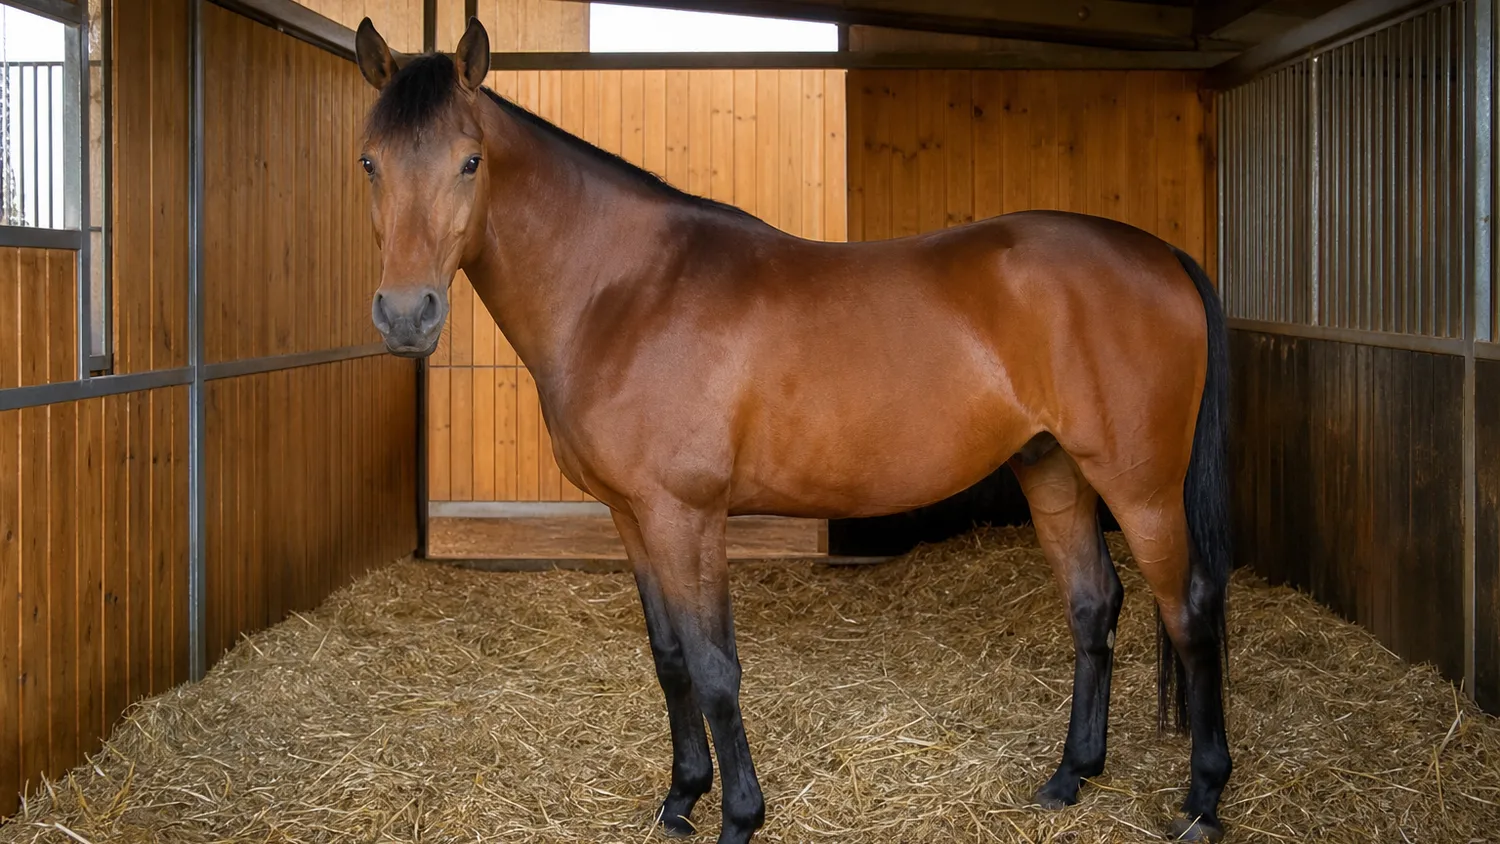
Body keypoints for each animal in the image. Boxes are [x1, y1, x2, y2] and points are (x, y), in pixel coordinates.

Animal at [353, 18, 1233, 843]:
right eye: (370, 163)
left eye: (470, 162)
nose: (406, 316)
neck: (625, 290)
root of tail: (1164, 257)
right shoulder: (633, 517)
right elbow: (670, 658)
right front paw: (681, 800)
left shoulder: (687, 516)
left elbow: (714, 666)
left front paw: (739, 817)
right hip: (1052, 468)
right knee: (1093, 604)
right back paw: (1070, 776)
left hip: (1141, 488)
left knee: (1189, 609)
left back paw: (1202, 799)